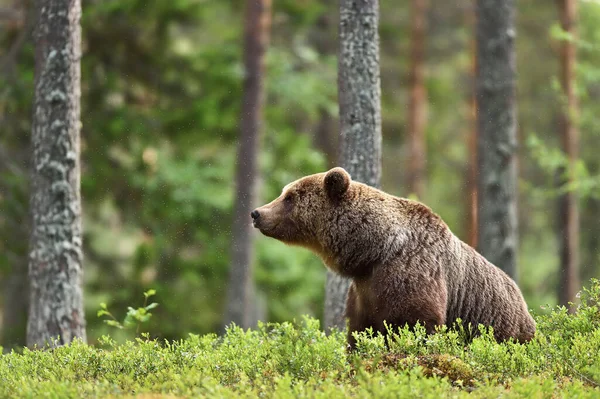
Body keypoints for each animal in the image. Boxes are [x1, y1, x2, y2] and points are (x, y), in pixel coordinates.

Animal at [251, 167, 536, 348]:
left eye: (290, 197)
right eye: (283, 192)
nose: (257, 213)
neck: (375, 251)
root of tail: (524, 304)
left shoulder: (411, 274)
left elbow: (414, 323)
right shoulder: (364, 291)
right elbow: (360, 331)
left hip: (499, 326)